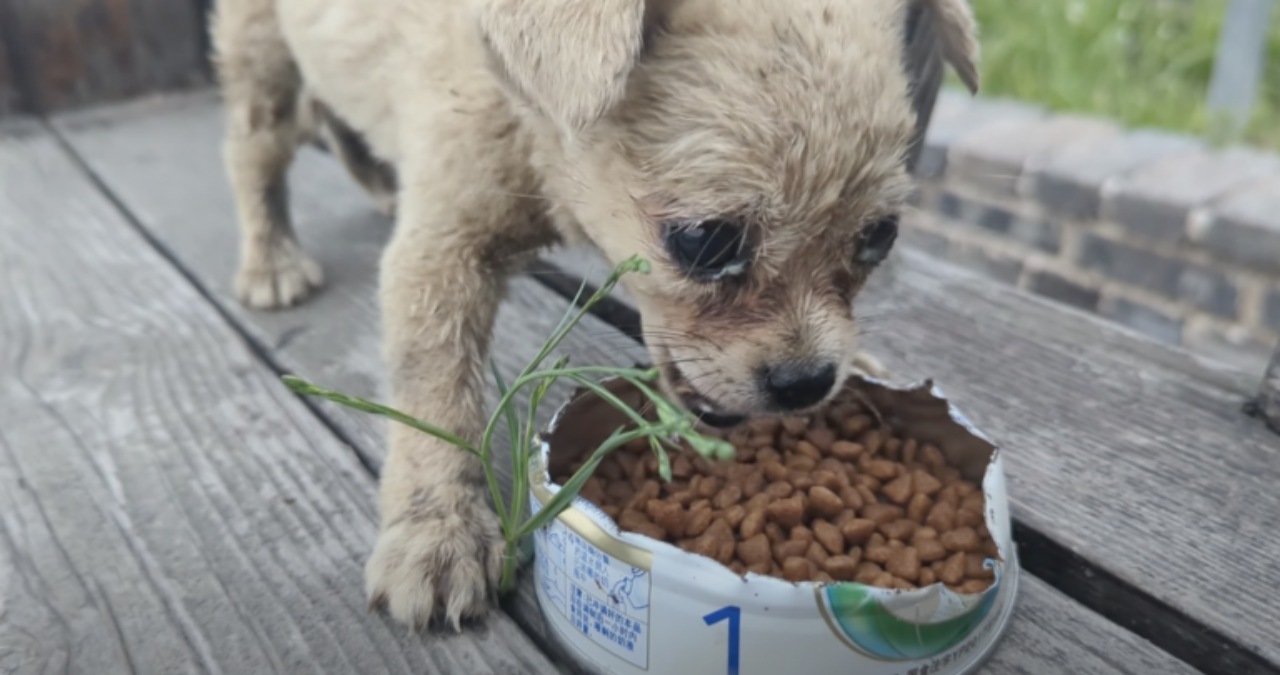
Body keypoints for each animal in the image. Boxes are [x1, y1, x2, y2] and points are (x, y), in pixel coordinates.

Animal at [209, 0, 977, 635]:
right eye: (705, 242)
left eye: (880, 238)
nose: (808, 382)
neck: (537, 120)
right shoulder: (438, 256)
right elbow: (436, 397)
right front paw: (437, 531)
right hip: (259, 51)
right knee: (256, 146)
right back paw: (270, 259)